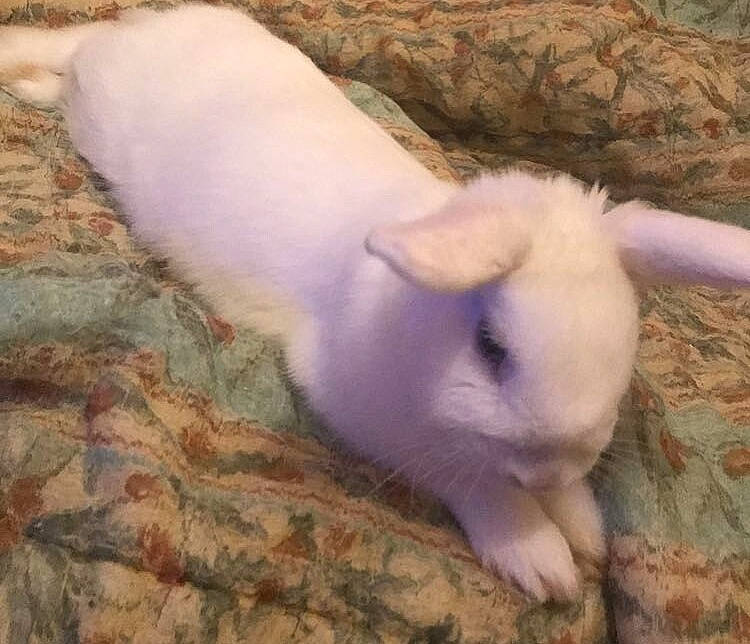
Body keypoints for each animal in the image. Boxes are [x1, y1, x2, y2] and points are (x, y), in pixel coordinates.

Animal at [2, 4, 750, 602]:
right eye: (491, 348)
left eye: (623, 352)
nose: (549, 466)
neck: (413, 324)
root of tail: (143, 27)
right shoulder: (372, 419)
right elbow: (468, 481)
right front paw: (541, 558)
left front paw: (583, 523)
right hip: (99, 106)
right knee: (71, 67)